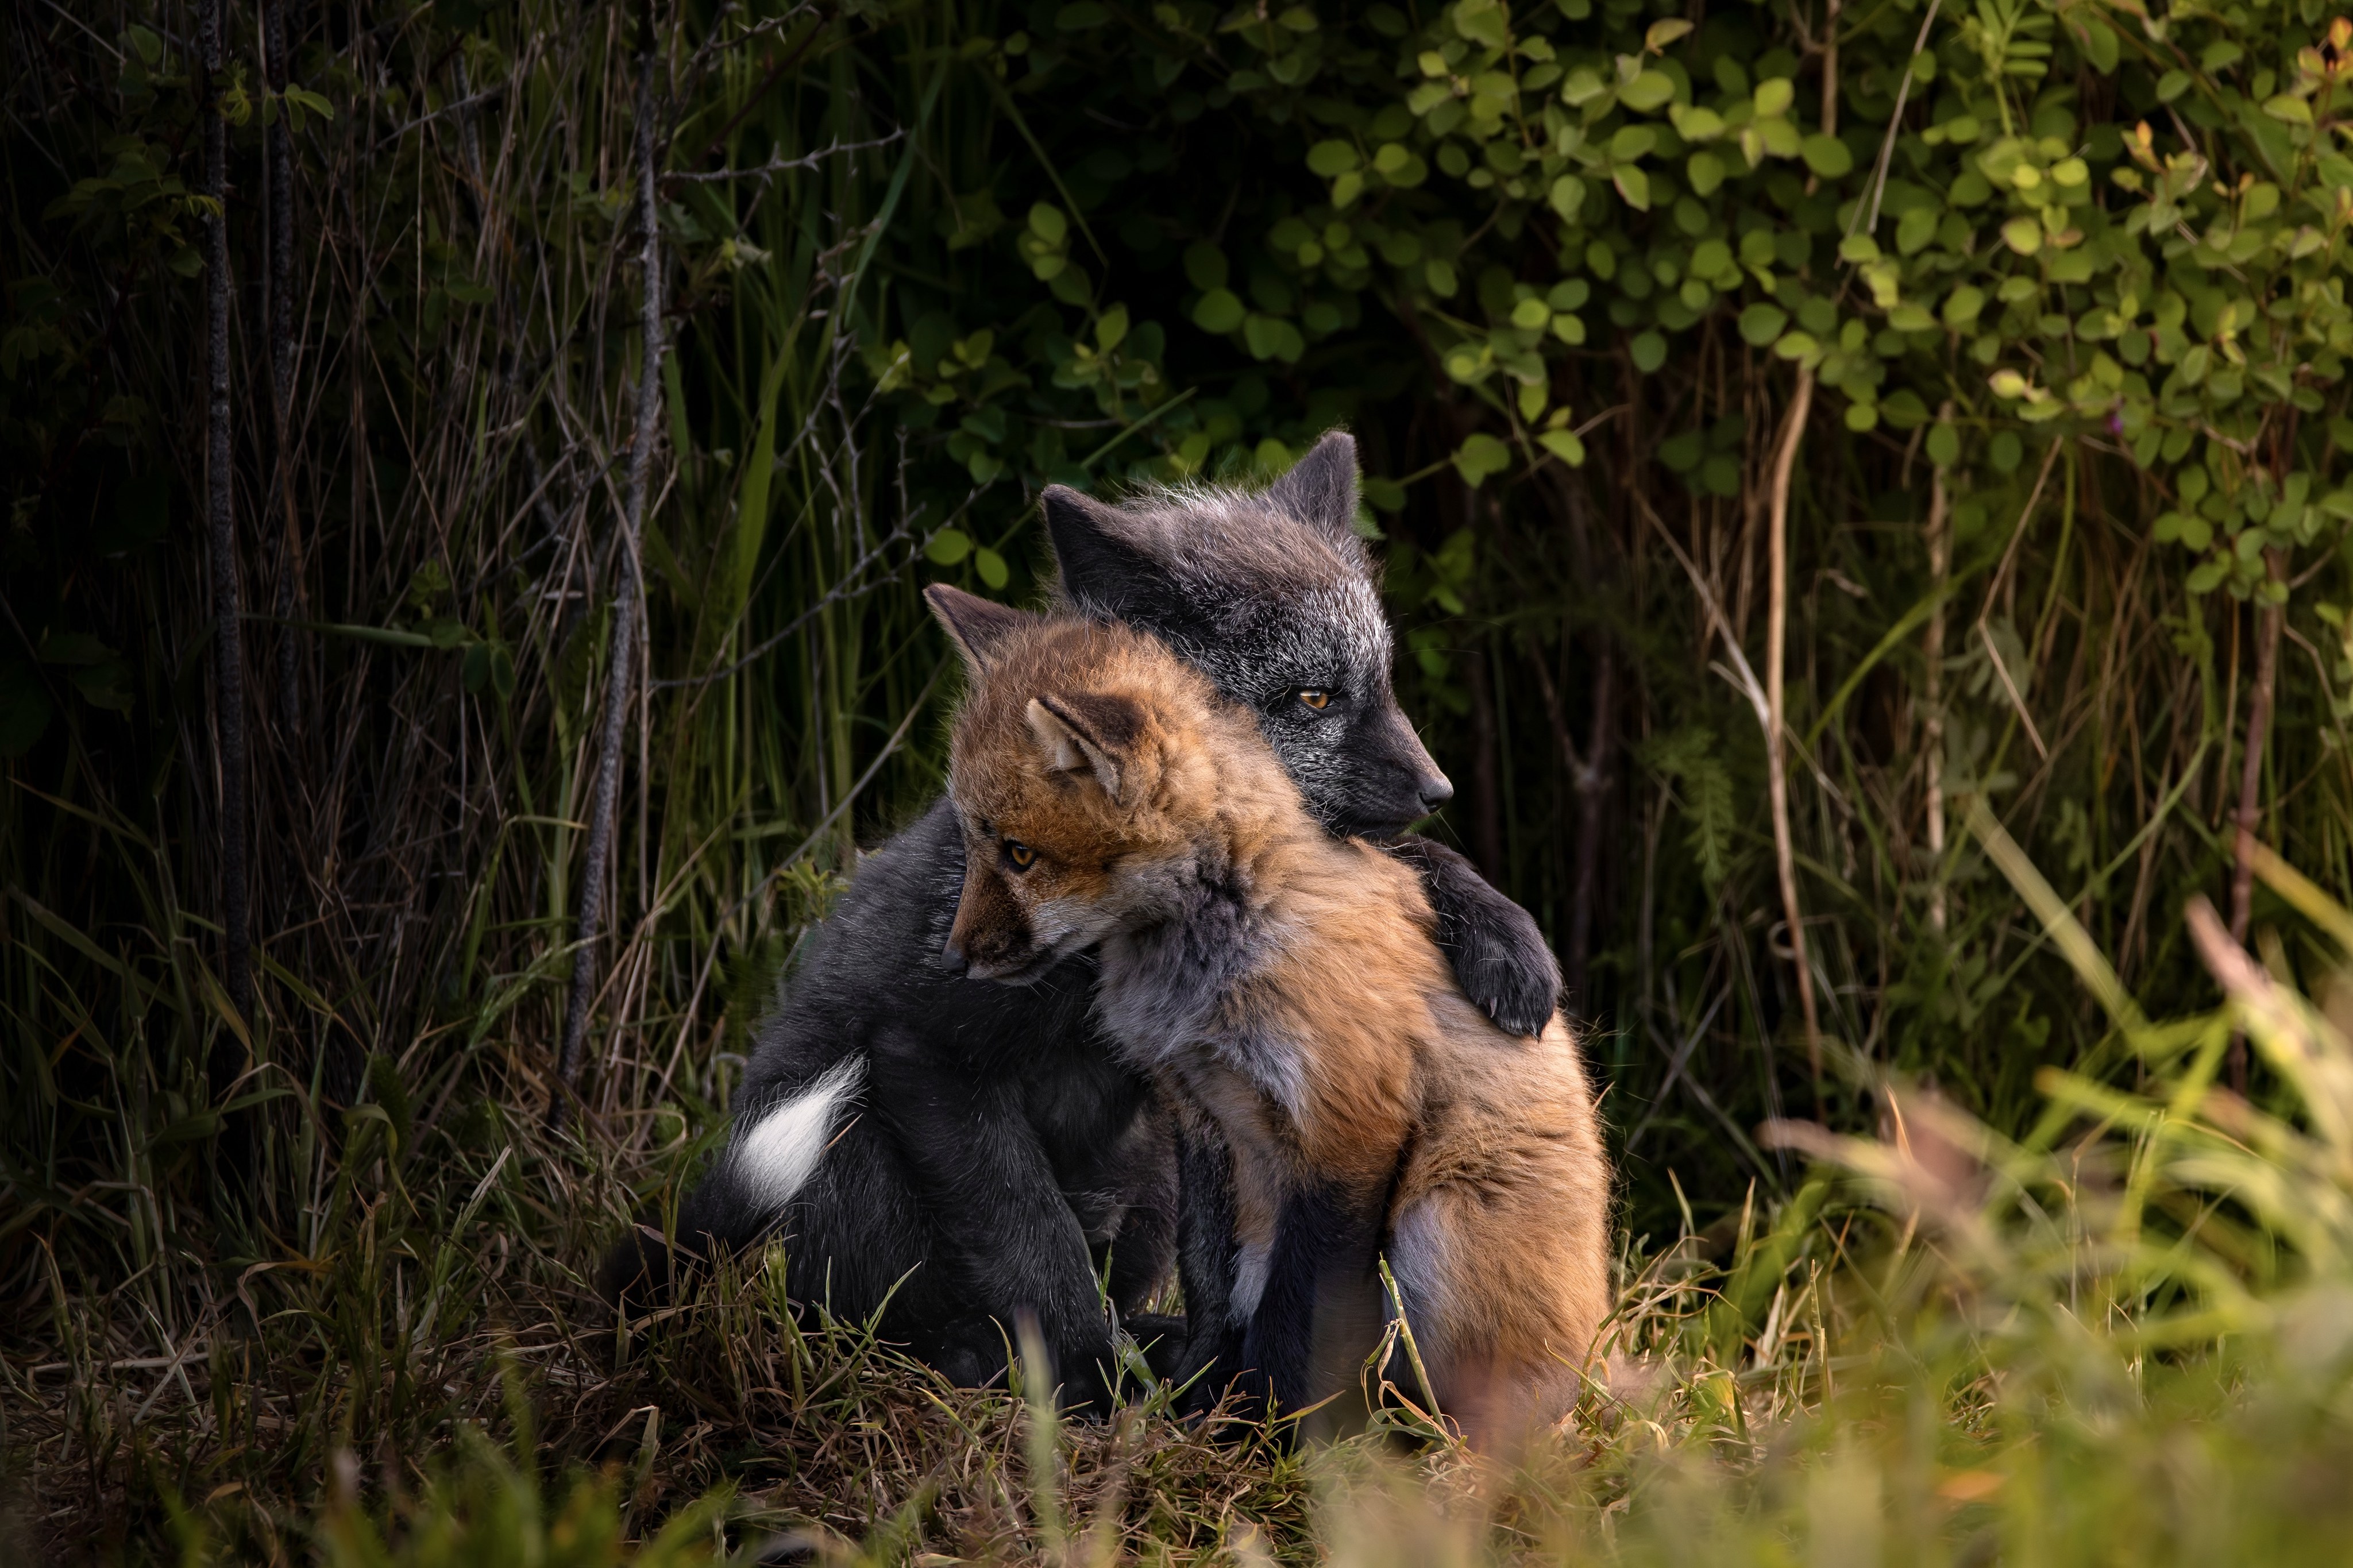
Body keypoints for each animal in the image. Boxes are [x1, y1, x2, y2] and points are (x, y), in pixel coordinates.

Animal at [601, 434, 1564, 1411]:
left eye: (1383, 685)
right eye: (1314, 699)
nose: (1441, 789)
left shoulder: (1202, 1085)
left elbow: (1213, 1264)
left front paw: (1506, 940)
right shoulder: (927, 1053)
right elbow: (1036, 1243)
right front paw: (1095, 1389)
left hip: (1146, 1171)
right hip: (849, 1128)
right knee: (889, 1323)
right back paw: (983, 1360)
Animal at [925, 584, 1614, 1448]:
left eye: (1019, 854)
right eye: (975, 844)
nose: (951, 960)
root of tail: (1591, 1373)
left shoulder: (1347, 1123)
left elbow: (1300, 1315)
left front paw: (1274, 1435)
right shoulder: (1203, 1114)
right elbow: (1210, 1286)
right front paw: (1199, 1400)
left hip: (1438, 1228)